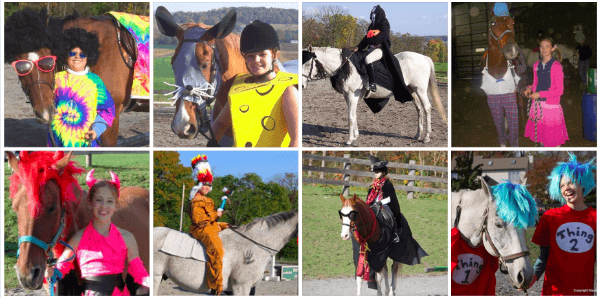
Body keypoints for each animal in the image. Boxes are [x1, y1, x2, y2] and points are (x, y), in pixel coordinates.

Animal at [304, 45, 446, 147]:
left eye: (307, 64)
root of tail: (425, 58)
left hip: (420, 90)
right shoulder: (348, 96)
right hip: (411, 90)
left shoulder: (352, 95)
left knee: (427, 108)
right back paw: (417, 135)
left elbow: (350, 117)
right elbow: (354, 115)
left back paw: (426, 137)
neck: (346, 66)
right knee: (419, 109)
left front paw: (349, 140)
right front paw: (355, 136)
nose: (302, 85)